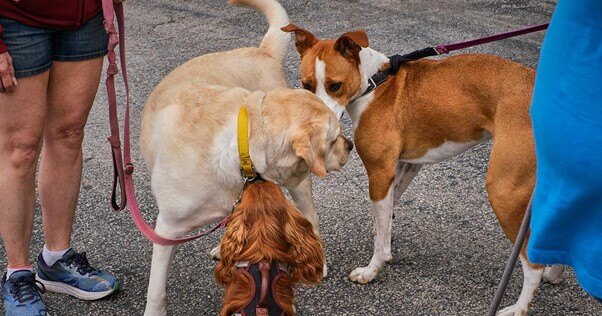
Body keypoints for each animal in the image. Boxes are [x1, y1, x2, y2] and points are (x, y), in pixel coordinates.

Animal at [280, 24, 564, 314]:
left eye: (334, 86)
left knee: (532, 263)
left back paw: (519, 306)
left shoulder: (379, 173)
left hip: (503, 191)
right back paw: (555, 274)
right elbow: (384, 220)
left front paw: (371, 270)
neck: (375, 83)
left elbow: (381, 233)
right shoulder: (404, 168)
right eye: (306, 86)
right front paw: (384, 245)